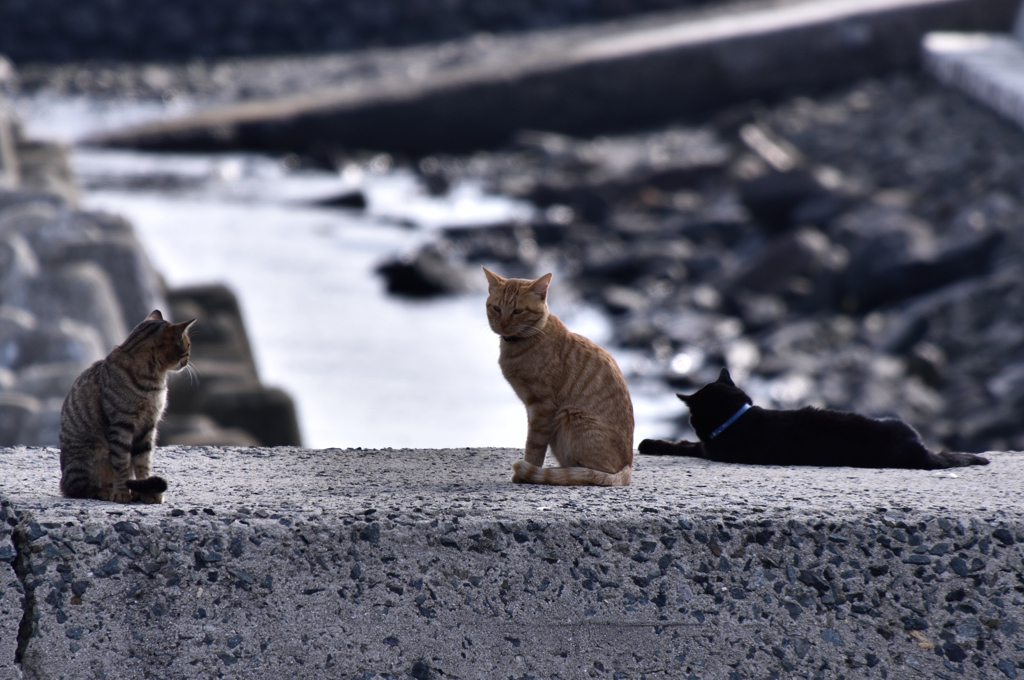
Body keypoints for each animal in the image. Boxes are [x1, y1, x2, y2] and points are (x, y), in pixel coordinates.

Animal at [58, 311, 194, 501]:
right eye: (188, 345)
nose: (188, 360)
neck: (153, 383)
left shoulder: (148, 426)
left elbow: (143, 462)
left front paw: (146, 491)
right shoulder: (121, 425)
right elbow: (121, 463)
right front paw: (122, 492)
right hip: (88, 457)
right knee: (77, 488)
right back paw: (106, 491)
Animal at [481, 268, 630, 485]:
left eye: (518, 311)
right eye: (496, 308)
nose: (502, 324)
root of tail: (628, 466)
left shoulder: (542, 405)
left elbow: (534, 444)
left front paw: (525, 473)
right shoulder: (531, 407)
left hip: (570, 415)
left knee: (593, 472)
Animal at [638, 368, 991, 471]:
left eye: (693, 419)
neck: (738, 417)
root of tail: (920, 450)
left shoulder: (710, 449)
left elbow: (683, 445)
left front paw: (651, 443)